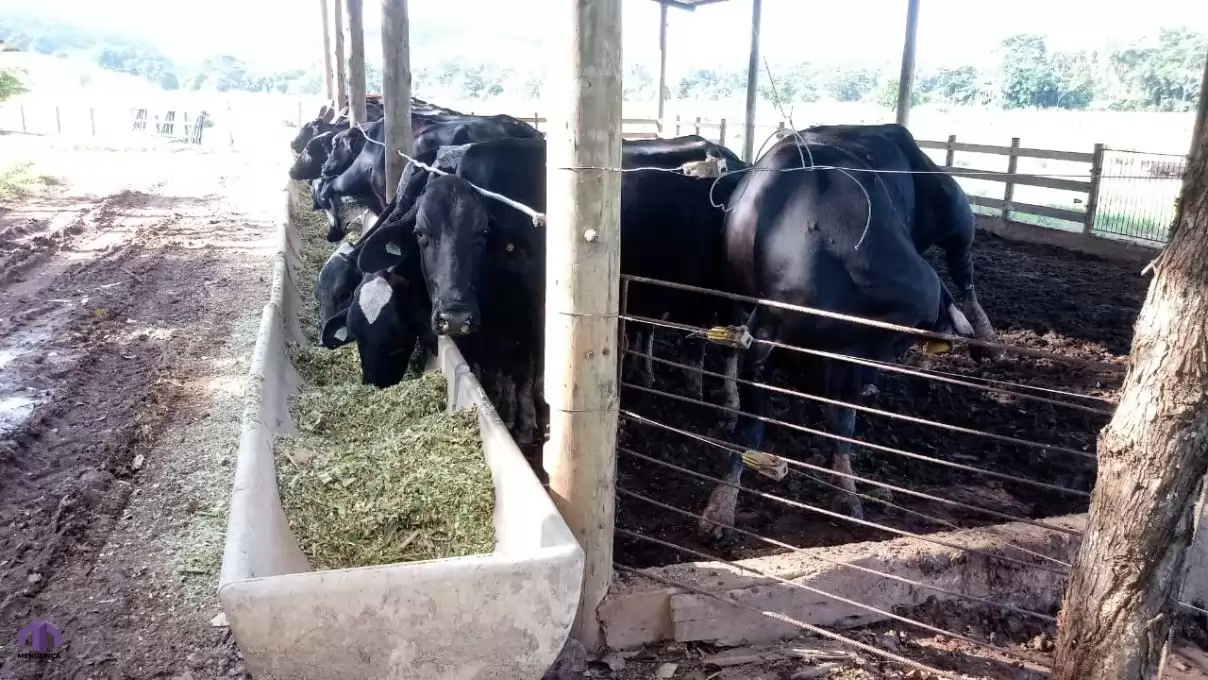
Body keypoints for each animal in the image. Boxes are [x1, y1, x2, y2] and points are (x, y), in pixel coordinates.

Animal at [695, 123, 997, 544]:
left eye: (898, 341)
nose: (871, 385)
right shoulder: (764, 339)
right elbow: (750, 428)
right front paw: (721, 506)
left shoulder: (848, 357)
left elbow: (842, 422)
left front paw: (847, 492)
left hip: (954, 213)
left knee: (962, 269)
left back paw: (984, 335)